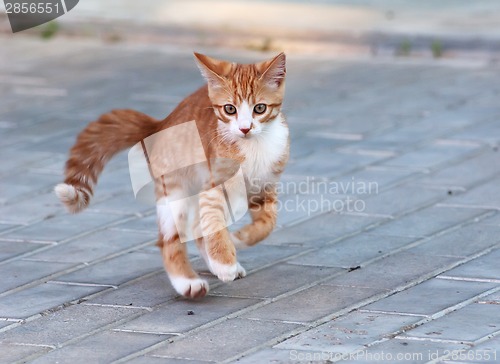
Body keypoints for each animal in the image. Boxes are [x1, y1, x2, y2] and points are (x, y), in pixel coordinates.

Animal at [54, 53, 290, 298]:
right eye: (230, 109)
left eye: (259, 108)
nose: (244, 129)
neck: (254, 148)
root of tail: (163, 123)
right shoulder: (214, 186)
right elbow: (213, 224)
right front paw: (225, 262)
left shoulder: (264, 186)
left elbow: (267, 224)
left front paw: (239, 240)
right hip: (175, 191)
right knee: (171, 239)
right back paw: (188, 282)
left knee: (197, 227)